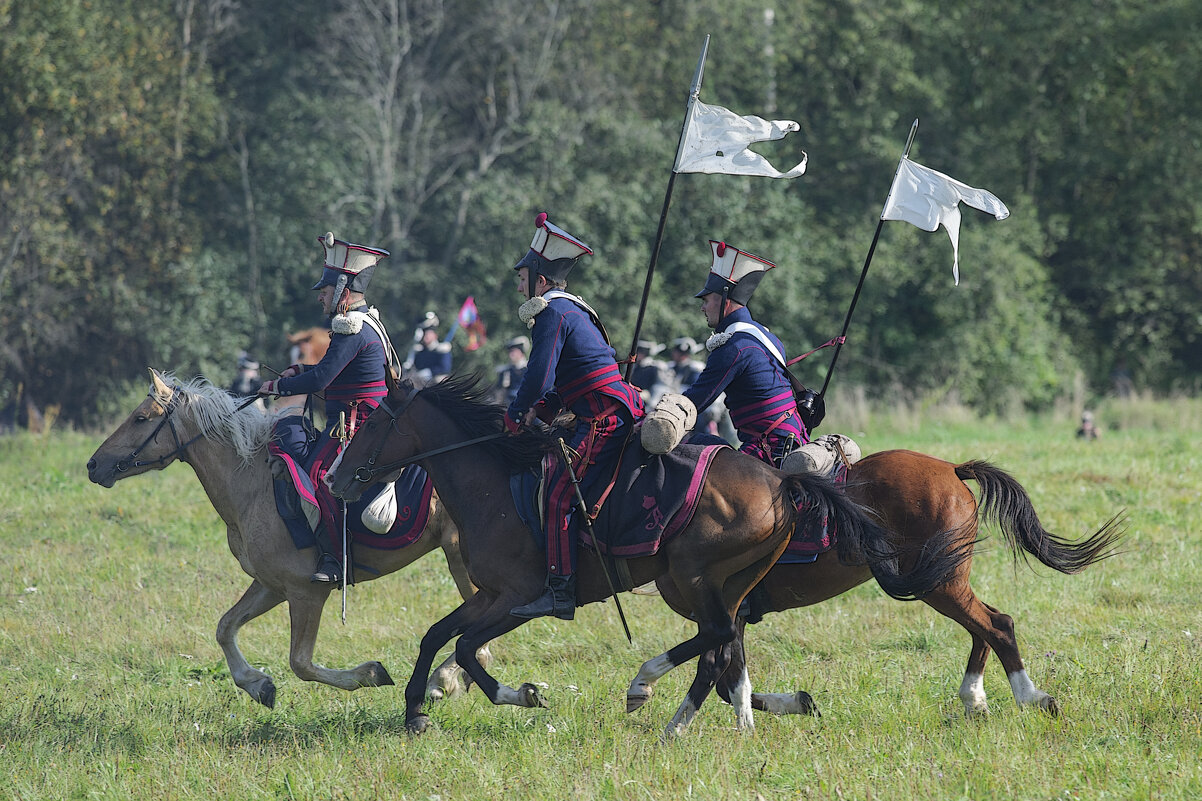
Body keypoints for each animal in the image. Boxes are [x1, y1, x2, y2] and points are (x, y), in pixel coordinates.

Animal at [84, 368, 490, 707]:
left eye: (141, 418)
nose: (92, 465)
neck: (252, 480)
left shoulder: (306, 592)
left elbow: (301, 663)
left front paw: (369, 674)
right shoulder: (271, 585)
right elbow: (225, 628)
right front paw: (257, 684)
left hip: (461, 562)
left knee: (482, 642)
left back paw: (442, 681)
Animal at [322, 375, 966, 736]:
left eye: (374, 422)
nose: (336, 479)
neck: (494, 483)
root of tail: (785, 484)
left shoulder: (517, 597)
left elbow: (461, 646)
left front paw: (516, 694)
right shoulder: (492, 597)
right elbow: (438, 636)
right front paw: (415, 710)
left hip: (691, 577)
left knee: (715, 639)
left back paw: (652, 690)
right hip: (718, 583)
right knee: (720, 644)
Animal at [663, 449, 1120, 716]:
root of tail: (951, 469)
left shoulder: (726, 613)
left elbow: (723, 679)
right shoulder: (732, 617)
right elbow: (730, 682)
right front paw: (798, 702)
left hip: (938, 584)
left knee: (997, 625)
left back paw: (1031, 697)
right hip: (948, 581)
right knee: (986, 626)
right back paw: (974, 699)